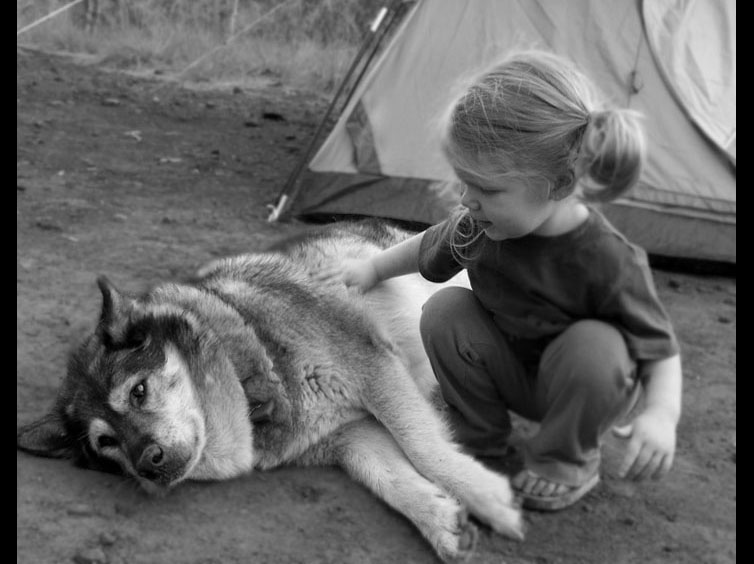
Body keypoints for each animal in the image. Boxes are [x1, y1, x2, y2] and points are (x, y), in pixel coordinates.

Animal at [17, 220, 524, 562]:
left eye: (138, 392)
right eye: (106, 442)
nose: (148, 463)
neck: (254, 364)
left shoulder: (376, 370)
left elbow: (424, 450)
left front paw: (490, 500)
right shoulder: (350, 437)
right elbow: (391, 480)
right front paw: (444, 523)